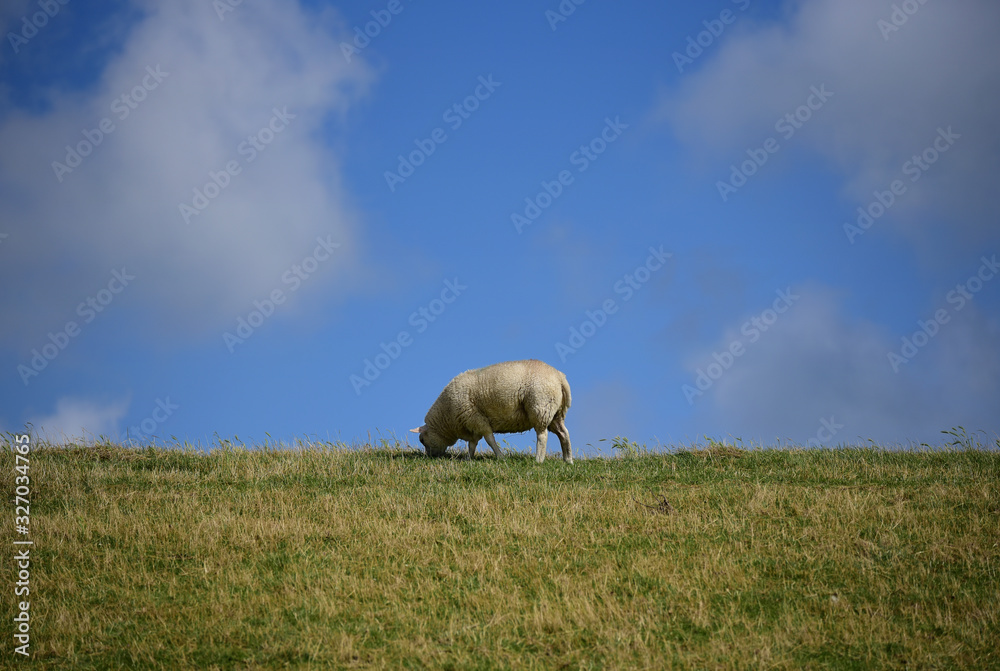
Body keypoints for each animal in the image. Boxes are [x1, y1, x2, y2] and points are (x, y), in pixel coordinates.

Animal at [410, 359, 573, 463]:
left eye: (422, 440)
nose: (430, 457)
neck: (447, 416)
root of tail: (560, 377)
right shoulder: (472, 424)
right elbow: (472, 444)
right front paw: (468, 459)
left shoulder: (475, 418)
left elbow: (489, 440)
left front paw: (500, 457)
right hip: (555, 412)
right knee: (563, 433)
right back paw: (568, 460)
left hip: (541, 406)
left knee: (542, 435)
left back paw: (539, 460)